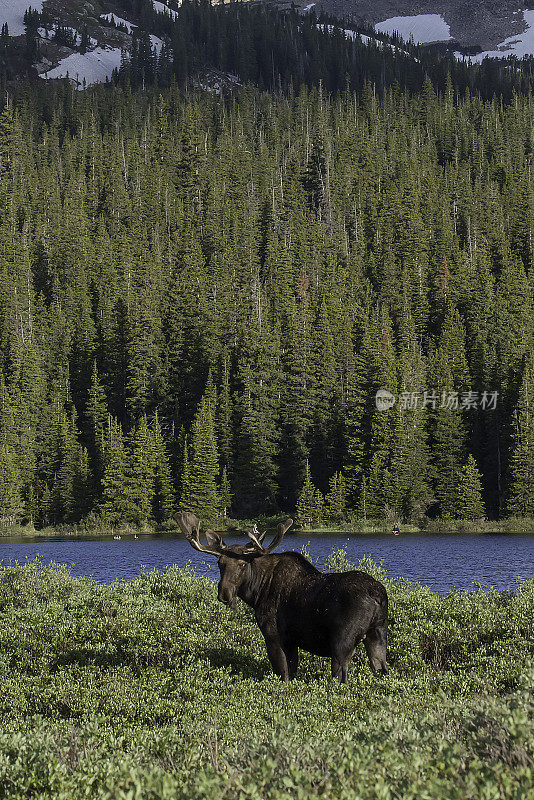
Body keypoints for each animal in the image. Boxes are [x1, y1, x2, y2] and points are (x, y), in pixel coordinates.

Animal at [176, 512, 390, 680]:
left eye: (243, 564)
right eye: (220, 563)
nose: (224, 593)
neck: (257, 593)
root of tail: (377, 595)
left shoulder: (274, 636)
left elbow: (283, 675)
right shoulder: (292, 642)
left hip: (342, 642)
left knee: (340, 677)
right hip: (378, 633)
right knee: (382, 669)